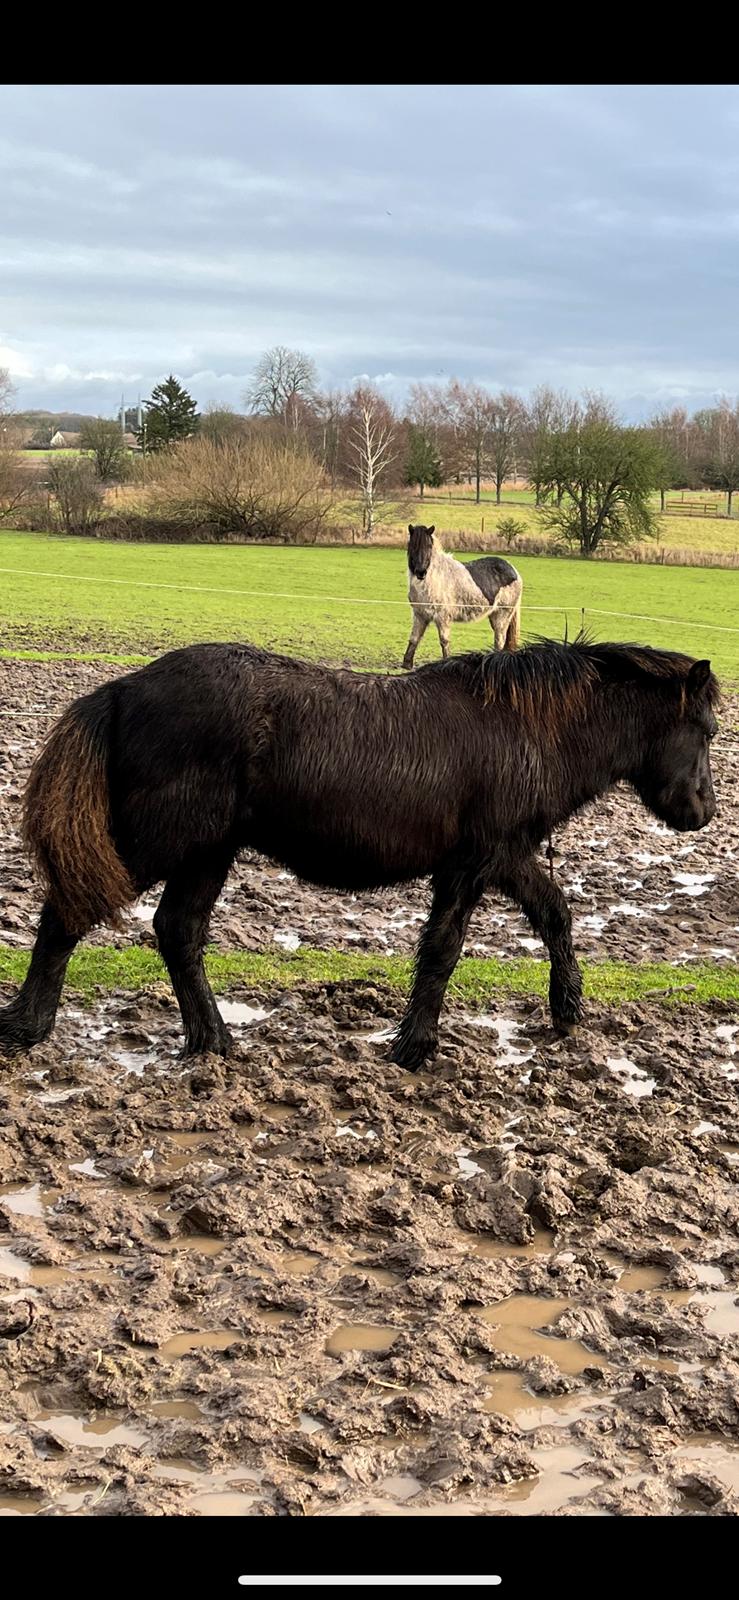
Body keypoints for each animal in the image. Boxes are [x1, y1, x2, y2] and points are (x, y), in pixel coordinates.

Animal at [0, 630, 716, 1068]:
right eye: (707, 730)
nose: (703, 813)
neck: (527, 730)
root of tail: (122, 690)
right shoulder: (479, 861)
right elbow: (445, 949)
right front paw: (414, 1047)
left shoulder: (500, 859)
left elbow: (554, 917)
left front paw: (567, 1012)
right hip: (158, 842)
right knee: (68, 912)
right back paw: (27, 1027)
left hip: (208, 851)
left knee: (178, 932)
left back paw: (215, 1041)